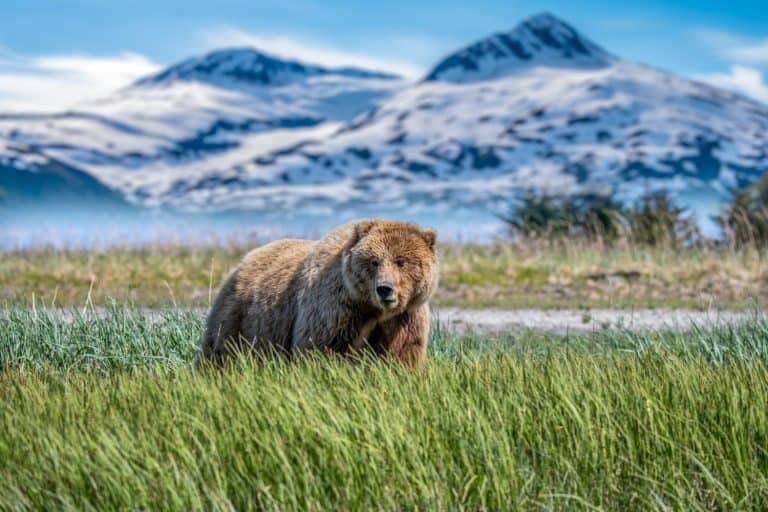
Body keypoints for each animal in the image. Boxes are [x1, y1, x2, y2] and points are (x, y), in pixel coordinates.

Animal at [199, 219, 439, 367]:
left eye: (401, 261)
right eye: (374, 261)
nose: (384, 289)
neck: (372, 310)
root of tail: (243, 260)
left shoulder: (405, 318)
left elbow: (401, 354)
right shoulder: (335, 309)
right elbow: (320, 349)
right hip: (241, 318)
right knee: (220, 350)